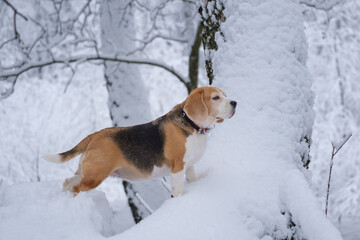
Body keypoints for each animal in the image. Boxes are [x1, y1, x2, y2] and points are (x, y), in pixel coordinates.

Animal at [44, 86, 236, 197]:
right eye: (215, 98)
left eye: (225, 95)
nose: (234, 102)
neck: (191, 124)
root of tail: (95, 135)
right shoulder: (177, 167)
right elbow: (178, 190)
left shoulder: (189, 167)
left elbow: (193, 178)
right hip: (95, 176)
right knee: (74, 188)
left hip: (86, 172)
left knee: (67, 182)